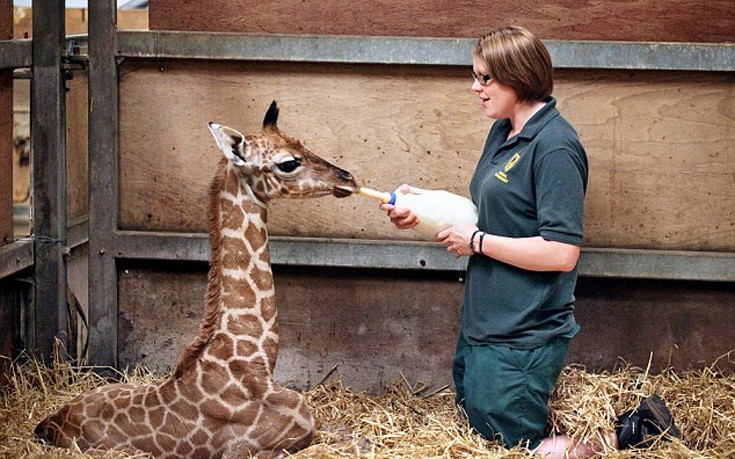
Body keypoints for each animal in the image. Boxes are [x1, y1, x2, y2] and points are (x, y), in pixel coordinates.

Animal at [36, 101, 360, 459]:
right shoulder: (258, 444)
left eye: (302, 143)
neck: (254, 356)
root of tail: (48, 424)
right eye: (288, 163)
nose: (348, 179)